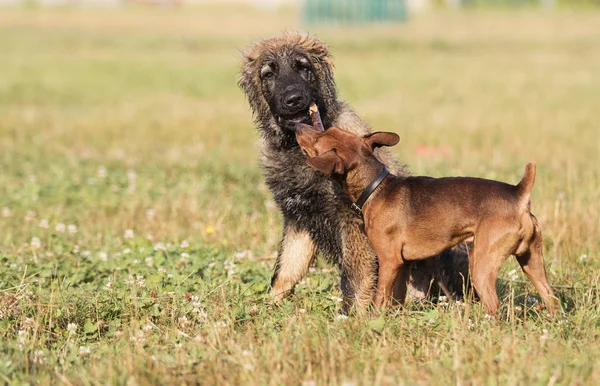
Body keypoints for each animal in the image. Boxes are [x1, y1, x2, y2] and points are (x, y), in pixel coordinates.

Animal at [298, 125, 560, 316]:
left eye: (318, 138)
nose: (299, 125)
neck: (376, 188)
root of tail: (518, 194)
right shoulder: (403, 265)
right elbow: (397, 299)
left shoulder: (389, 262)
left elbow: (380, 298)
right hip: (531, 261)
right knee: (551, 297)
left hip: (482, 265)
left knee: (494, 306)